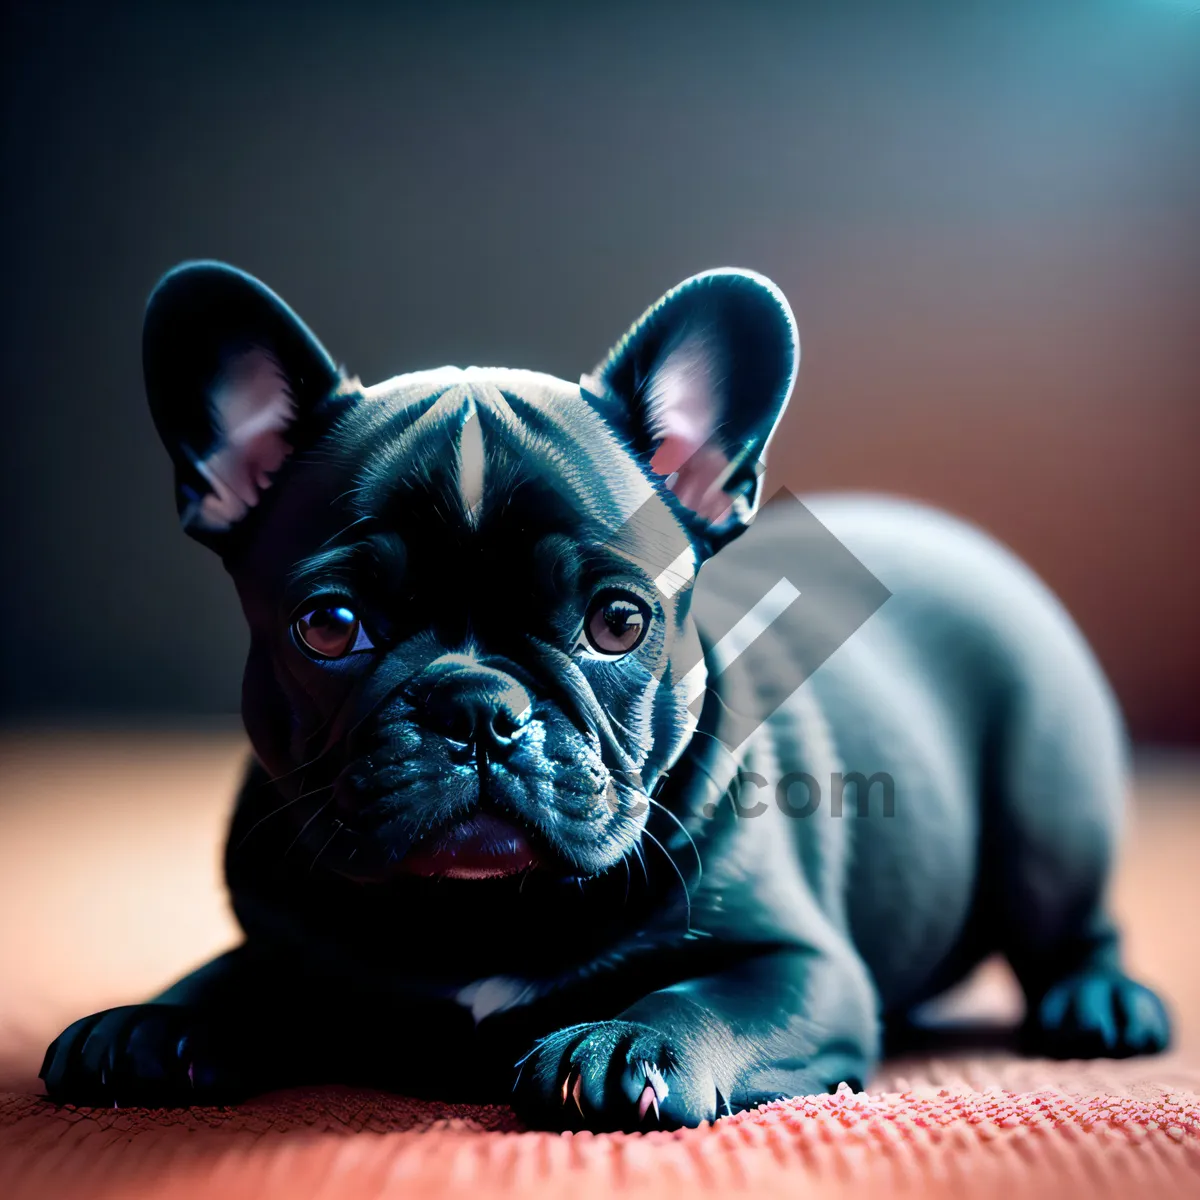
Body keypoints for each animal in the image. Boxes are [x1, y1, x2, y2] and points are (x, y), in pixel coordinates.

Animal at [42, 258, 1166, 1128]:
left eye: (618, 623)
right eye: (328, 626)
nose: (478, 707)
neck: (476, 913)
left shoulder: (807, 968)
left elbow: (708, 994)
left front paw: (628, 1043)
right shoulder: (284, 931)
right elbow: (242, 967)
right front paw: (156, 1018)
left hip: (1048, 819)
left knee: (1074, 922)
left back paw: (1103, 1005)